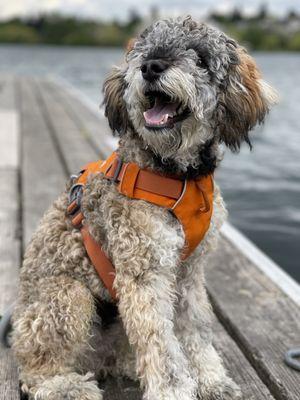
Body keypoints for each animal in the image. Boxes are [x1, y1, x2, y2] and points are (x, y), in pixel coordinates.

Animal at [11, 15, 276, 400]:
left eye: (200, 57)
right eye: (143, 50)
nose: (151, 66)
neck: (179, 176)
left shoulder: (190, 272)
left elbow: (196, 328)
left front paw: (211, 379)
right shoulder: (144, 274)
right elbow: (162, 348)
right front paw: (173, 391)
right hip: (68, 297)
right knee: (34, 369)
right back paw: (65, 385)